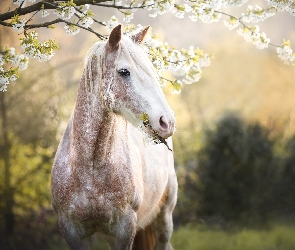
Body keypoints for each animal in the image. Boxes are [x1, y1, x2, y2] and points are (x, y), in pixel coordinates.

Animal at [51, 23, 178, 250]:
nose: (167, 122)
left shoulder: (123, 229)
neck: (91, 168)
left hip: (164, 219)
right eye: (124, 71)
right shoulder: (72, 230)